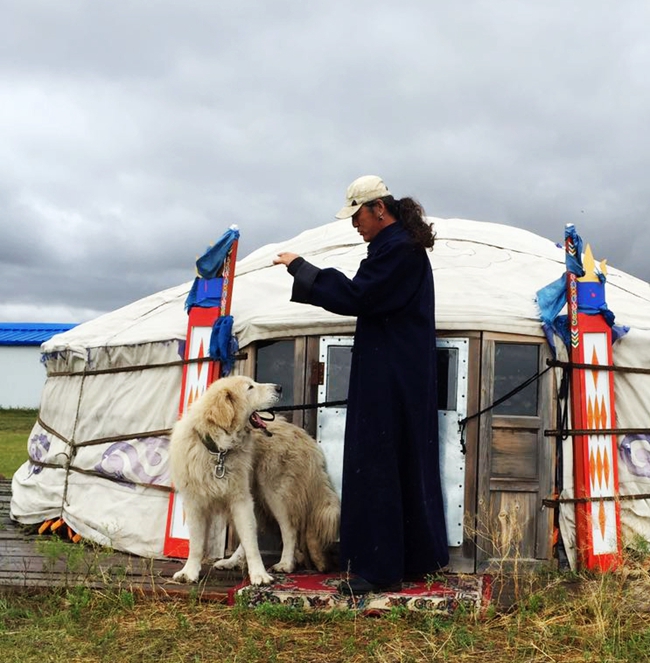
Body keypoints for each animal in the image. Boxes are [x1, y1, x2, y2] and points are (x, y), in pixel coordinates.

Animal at [167, 374, 340, 588]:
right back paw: (231, 561)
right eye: (250, 388)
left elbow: (252, 543)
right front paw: (189, 572)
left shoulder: (240, 500)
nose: (279, 387)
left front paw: (259, 574)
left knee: (289, 531)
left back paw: (285, 564)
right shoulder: (195, 503)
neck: (218, 451)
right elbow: (197, 543)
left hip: (276, 494)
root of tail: (304, 436)